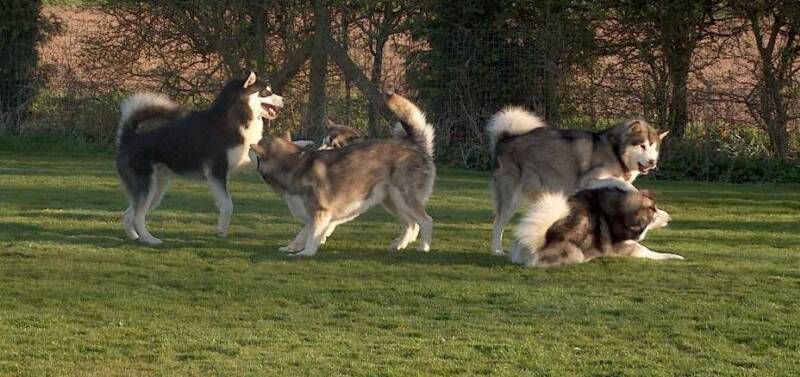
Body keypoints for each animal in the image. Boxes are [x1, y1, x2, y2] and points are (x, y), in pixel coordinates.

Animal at [115, 72, 284, 244]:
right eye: (266, 92)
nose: (284, 99)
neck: (235, 118)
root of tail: (129, 139)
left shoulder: (243, 161)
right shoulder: (216, 172)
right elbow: (227, 205)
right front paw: (221, 229)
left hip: (156, 190)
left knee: (129, 214)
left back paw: (135, 236)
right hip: (147, 187)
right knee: (138, 217)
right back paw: (149, 239)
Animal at [250, 91, 438, 256]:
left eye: (253, 149)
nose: (249, 146)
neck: (293, 163)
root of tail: (415, 145)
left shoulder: (320, 213)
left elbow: (312, 237)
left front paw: (305, 253)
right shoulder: (316, 216)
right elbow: (302, 234)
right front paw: (291, 247)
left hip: (403, 198)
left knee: (426, 221)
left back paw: (423, 248)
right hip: (392, 200)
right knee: (410, 224)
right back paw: (399, 245)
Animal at [488, 107, 668, 258]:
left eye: (654, 147)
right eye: (642, 145)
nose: (652, 162)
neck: (615, 152)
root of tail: (506, 139)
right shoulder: (588, 180)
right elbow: (620, 182)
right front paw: (632, 190)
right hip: (511, 198)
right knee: (498, 224)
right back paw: (496, 250)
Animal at [510, 187, 684, 266]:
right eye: (653, 211)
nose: (670, 218)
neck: (618, 211)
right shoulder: (626, 247)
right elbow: (651, 252)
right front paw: (674, 256)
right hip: (576, 253)